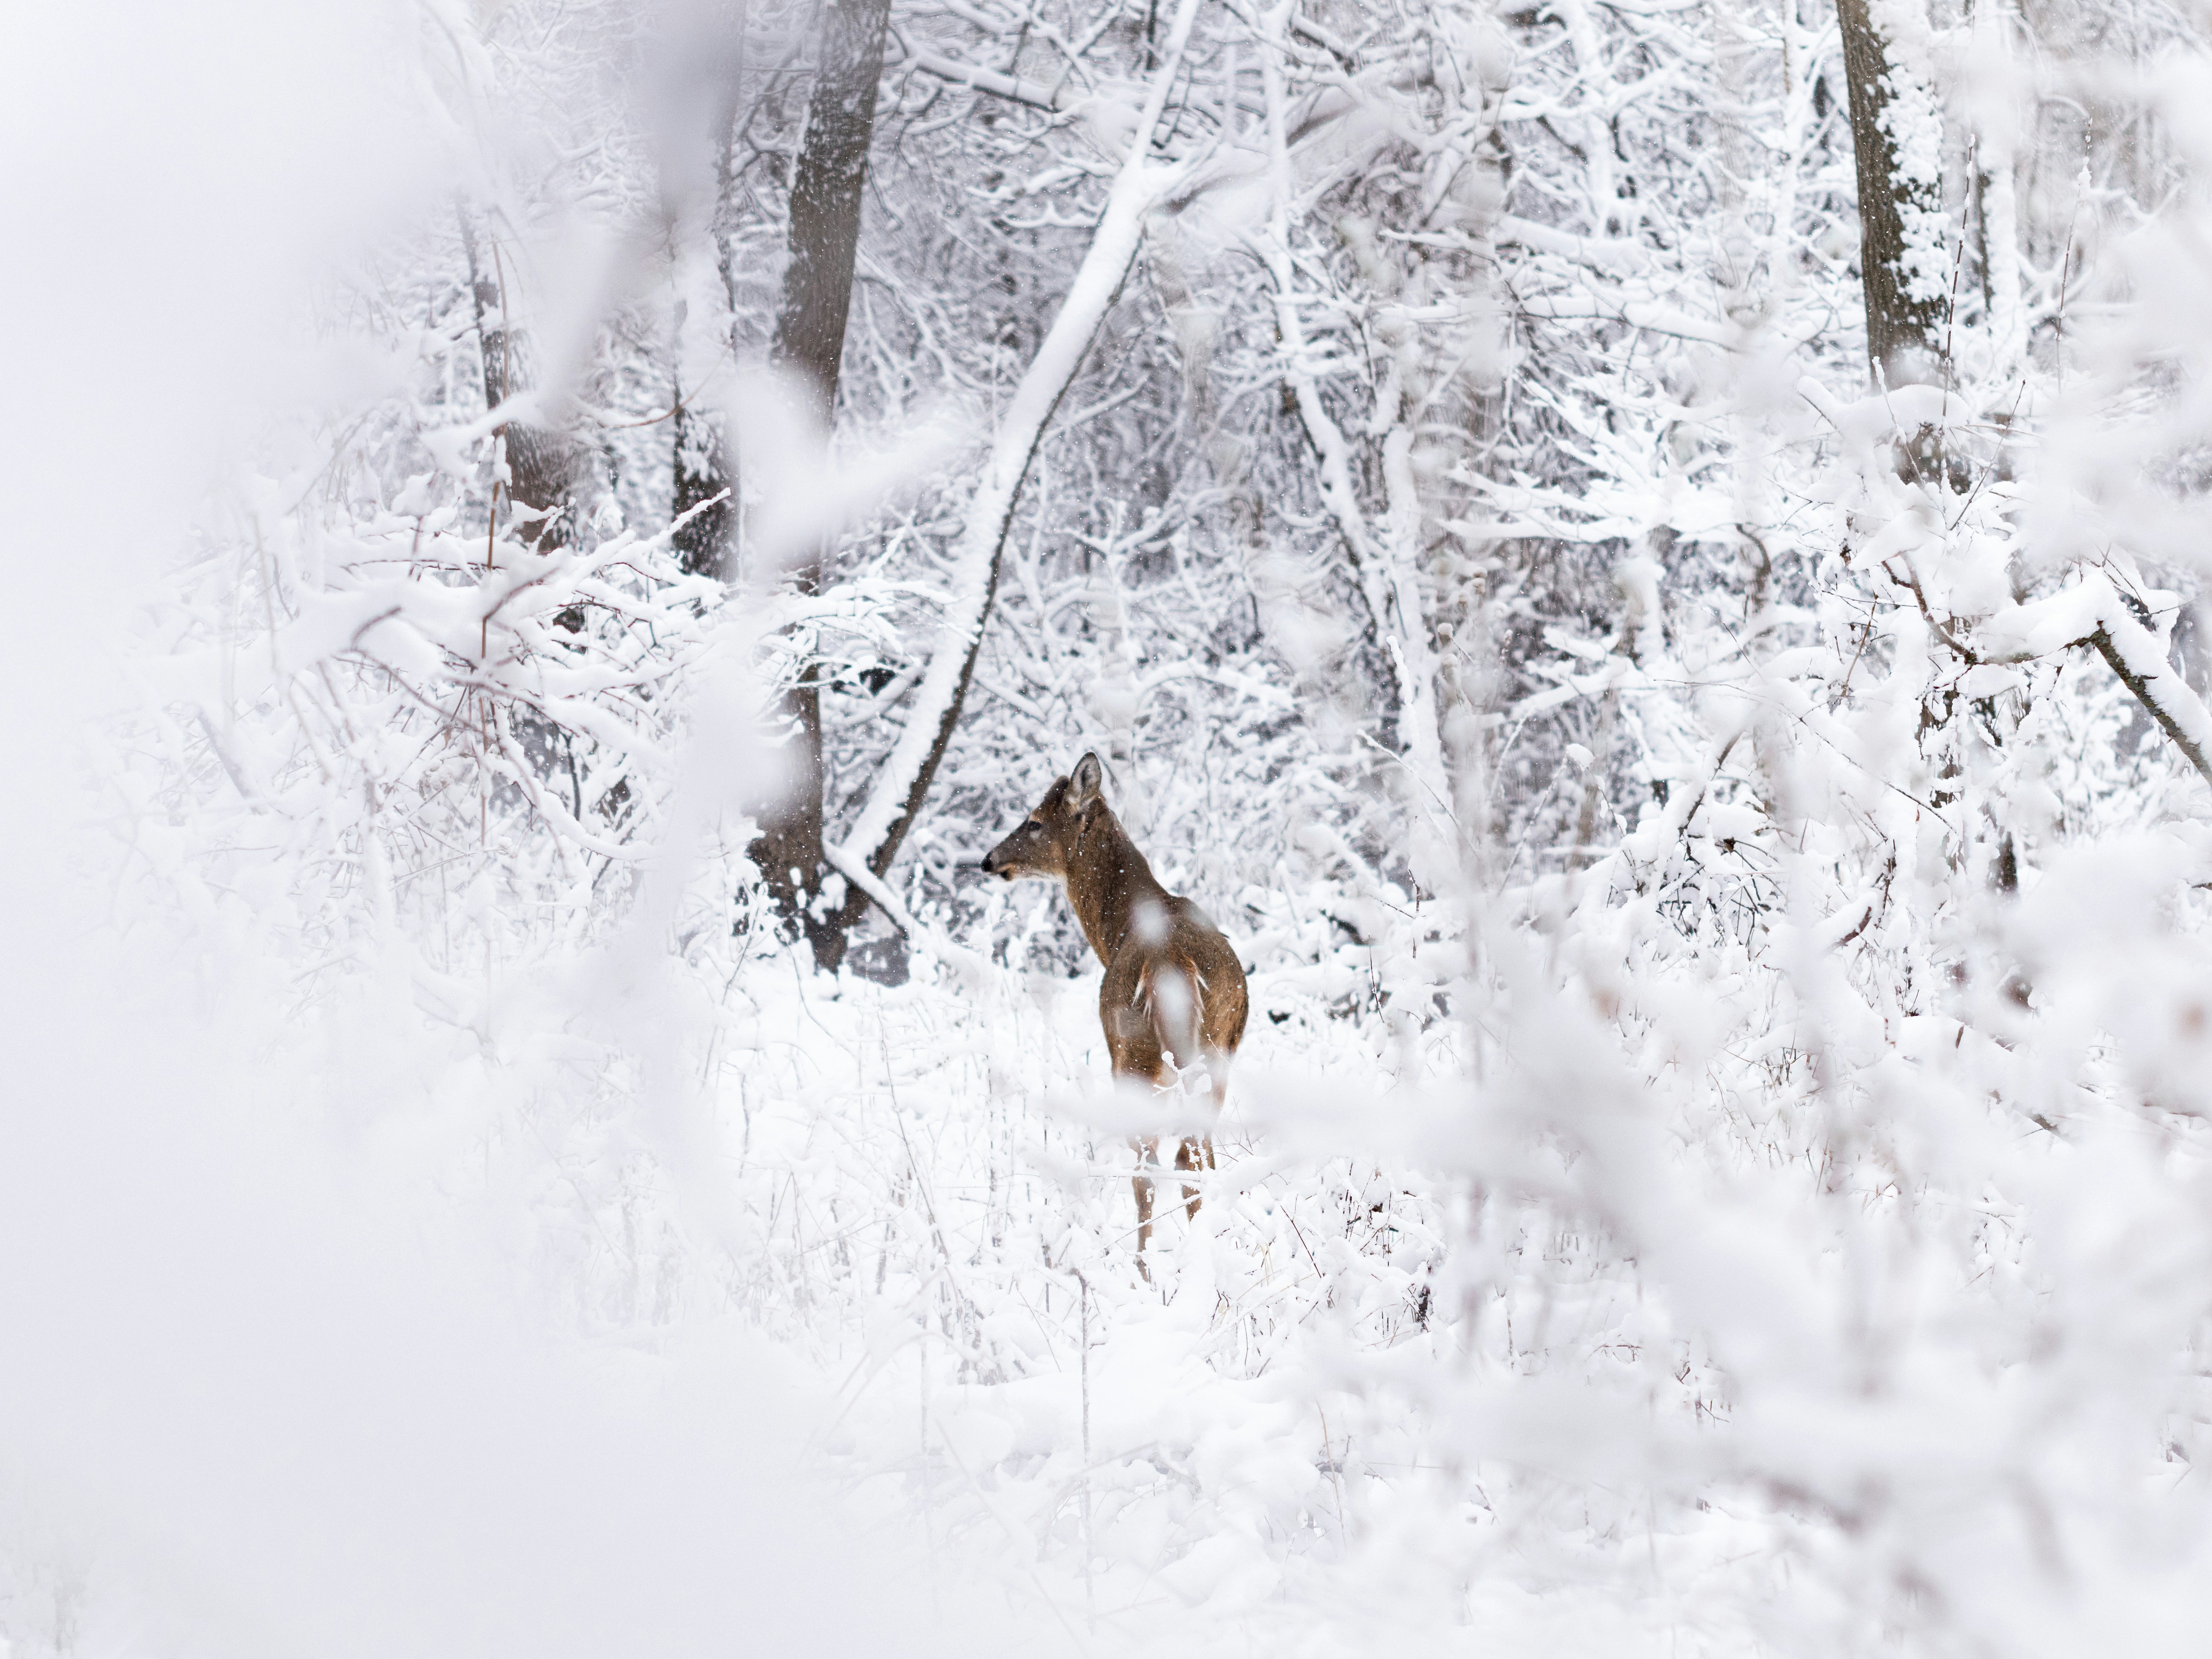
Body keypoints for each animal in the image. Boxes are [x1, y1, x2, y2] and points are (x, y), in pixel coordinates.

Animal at [980, 753, 1249, 1263]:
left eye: (1035, 822)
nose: (989, 859)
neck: (1117, 930)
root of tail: (1170, 963)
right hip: (1216, 1051)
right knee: (1199, 1155)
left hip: (1133, 1055)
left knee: (1155, 1164)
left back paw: (1144, 1266)